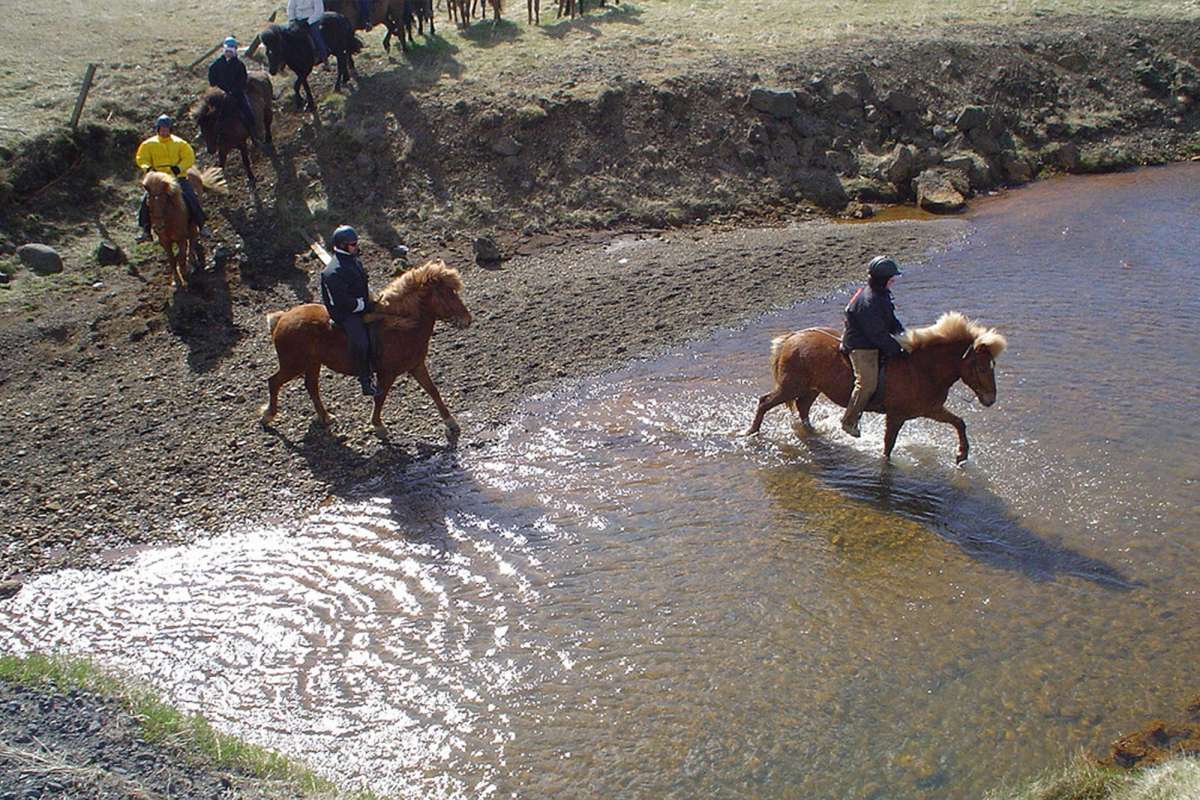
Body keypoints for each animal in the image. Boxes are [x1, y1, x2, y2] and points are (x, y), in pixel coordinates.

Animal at [261, 259, 473, 435]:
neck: (402, 325)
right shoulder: (387, 374)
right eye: (446, 294)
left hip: (312, 364)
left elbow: (433, 390)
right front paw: (378, 425)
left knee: (311, 386)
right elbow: (380, 397)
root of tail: (282, 318)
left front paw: (450, 422)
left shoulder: (417, 366)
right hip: (293, 365)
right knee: (274, 382)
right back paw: (268, 416)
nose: (467, 320)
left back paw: (325, 417)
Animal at [746, 312, 1008, 463]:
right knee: (765, 402)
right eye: (981, 367)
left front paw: (962, 455)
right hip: (790, 386)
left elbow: (959, 423)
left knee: (803, 409)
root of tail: (792, 337)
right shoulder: (897, 416)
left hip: (811, 389)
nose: (990, 399)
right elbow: (888, 446)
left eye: (992, 365)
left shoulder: (930, 410)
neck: (921, 369)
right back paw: (751, 433)